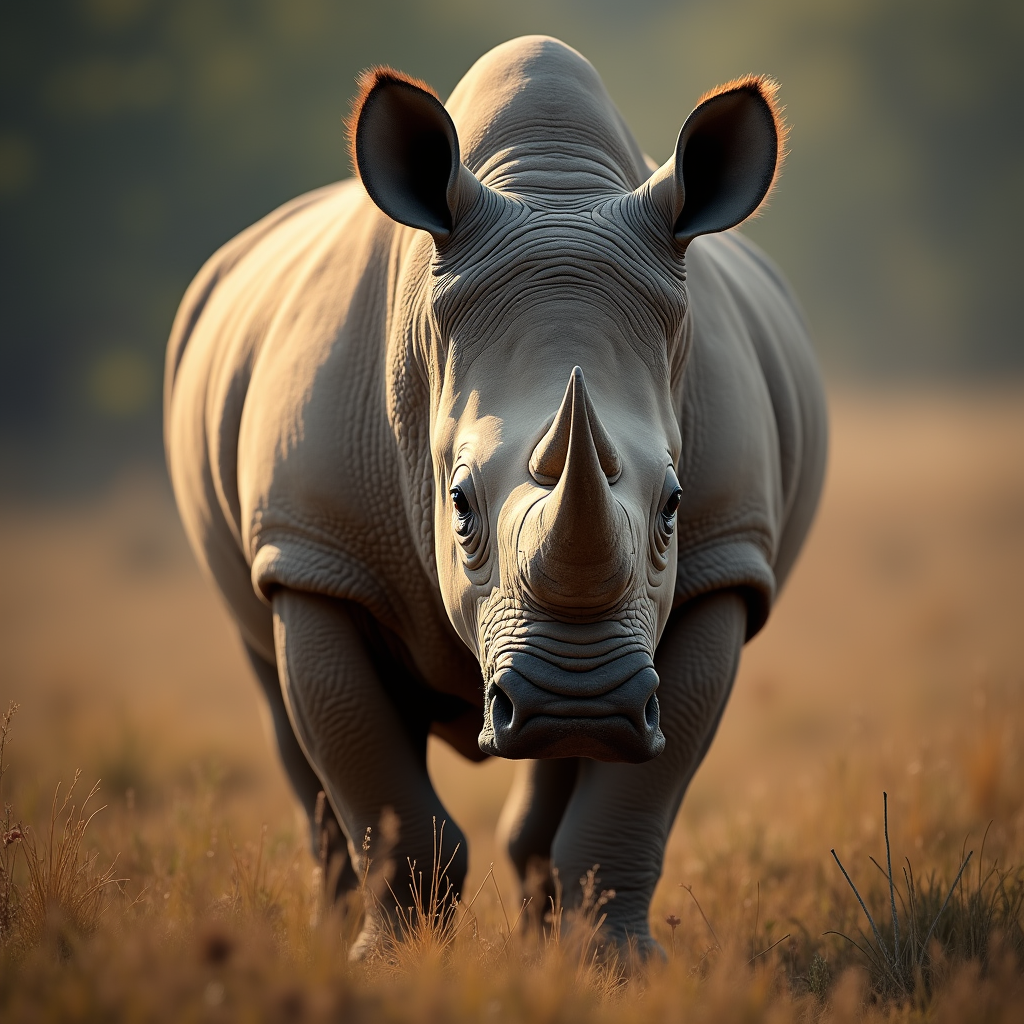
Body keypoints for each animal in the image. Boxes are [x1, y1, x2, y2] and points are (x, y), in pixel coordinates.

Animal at [165, 35, 827, 955]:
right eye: (458, 505)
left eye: (674, 505)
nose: (577, 700)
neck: (552, 192)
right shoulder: (315, 551)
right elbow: (376, 785)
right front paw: (387, 963)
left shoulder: (726, 561)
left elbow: (634, 798)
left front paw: (614, 966)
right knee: (274, 686)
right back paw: (331, 930)